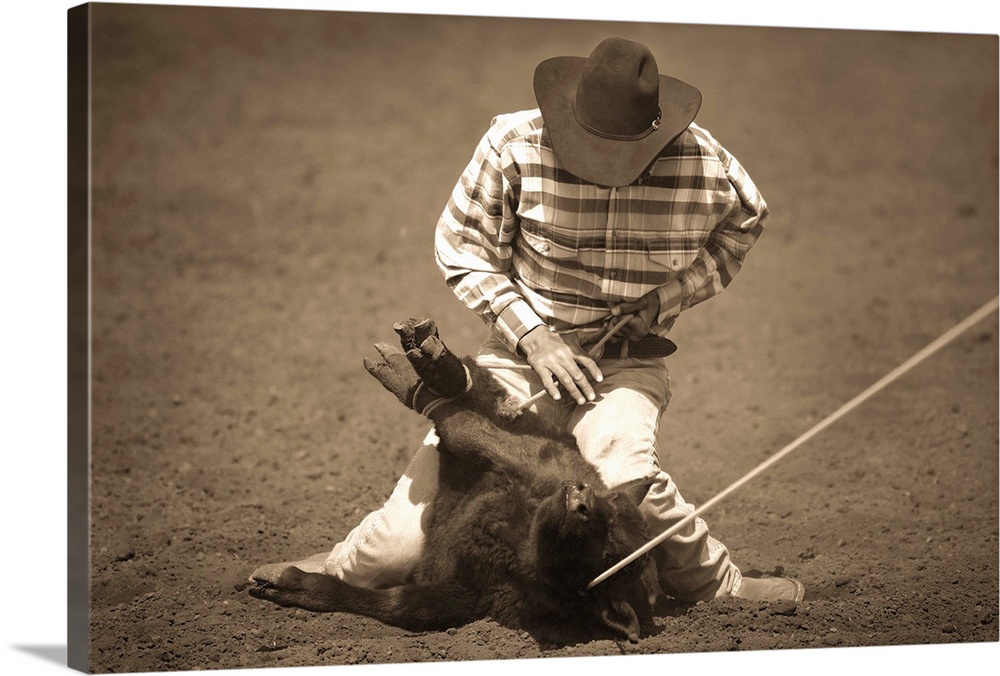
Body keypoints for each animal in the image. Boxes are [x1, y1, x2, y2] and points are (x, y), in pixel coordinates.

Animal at [252, 320, 656, 640]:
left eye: (608, 551)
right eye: (608, 508)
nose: (580, 495)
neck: (518, 535)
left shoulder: (463, 594)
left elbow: (396, 604)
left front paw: (289, 585)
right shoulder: (530, 462)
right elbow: (468, 430)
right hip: (529, 435)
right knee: (477, 404)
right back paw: (431, 365)